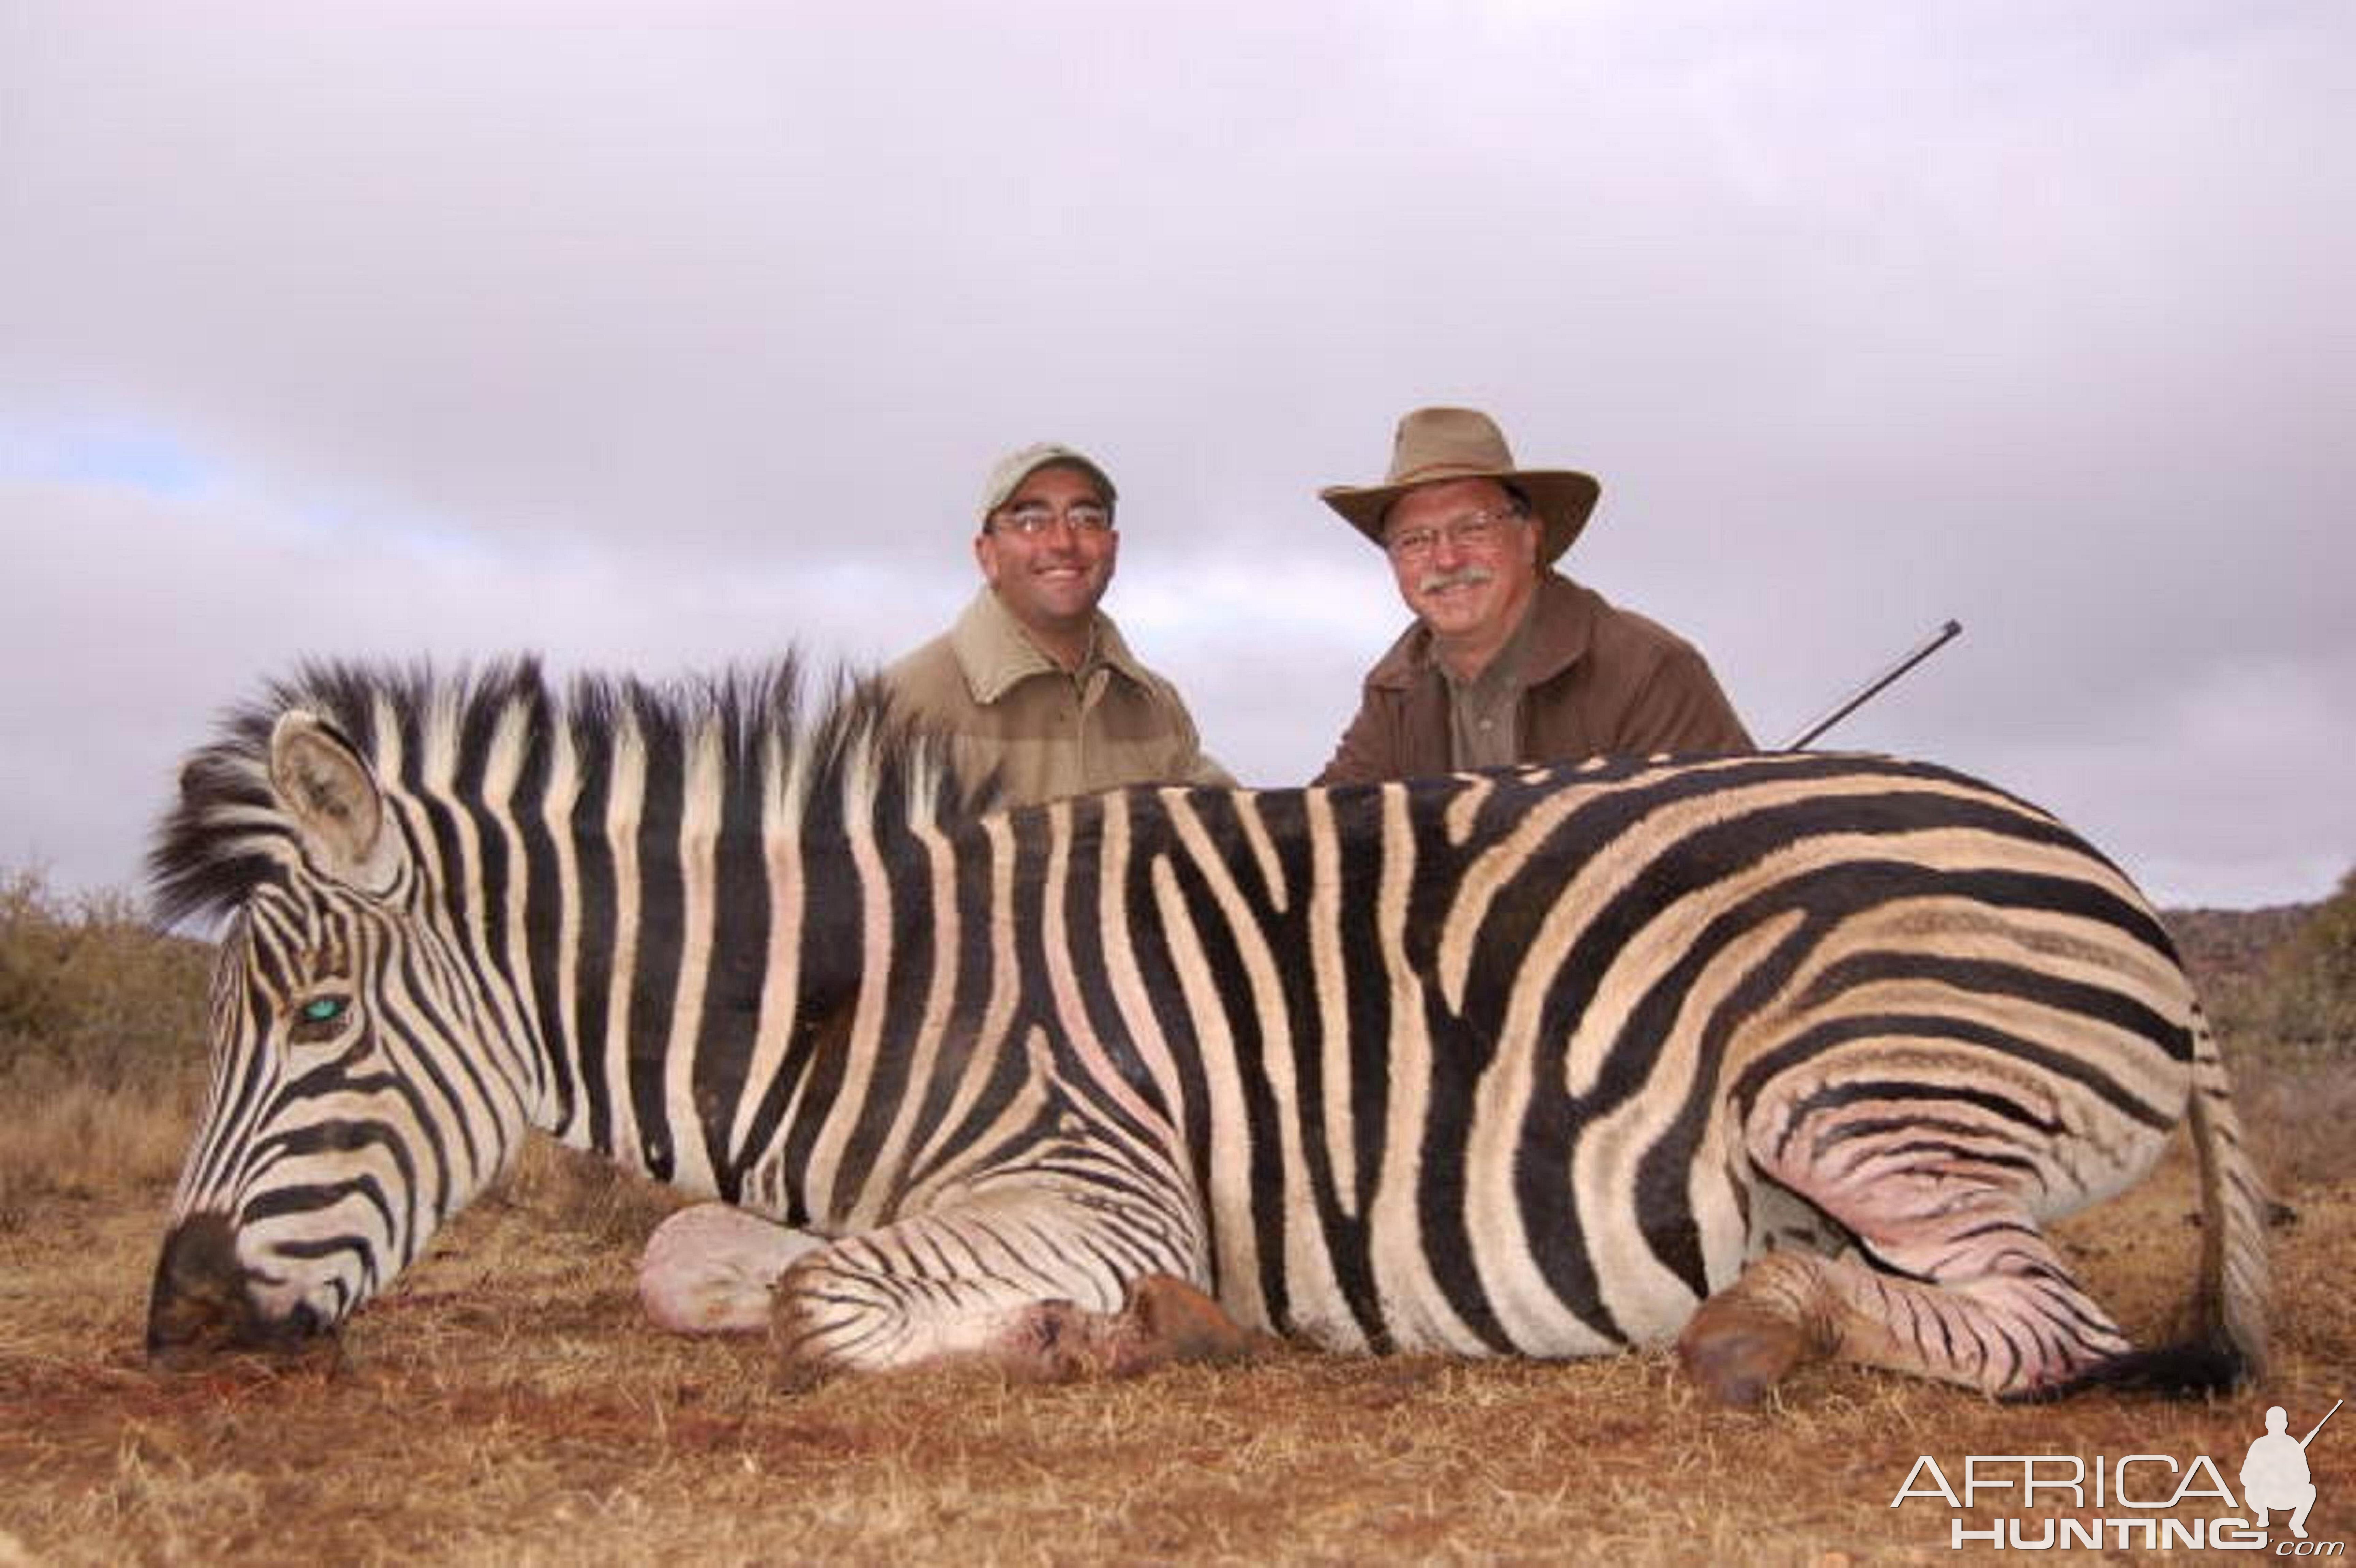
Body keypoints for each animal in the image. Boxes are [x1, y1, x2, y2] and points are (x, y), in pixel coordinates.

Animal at [142, 654, 2262, 1394]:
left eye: (313, 1014)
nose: (167, 1321)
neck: (870, 1001)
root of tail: (2114, 881)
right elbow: (703, 1263)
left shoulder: (1106, 1185)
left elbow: (830, 1306)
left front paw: (1104, 1331)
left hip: (1851, 1102)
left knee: (2045, 1329)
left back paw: (1764, 1318)